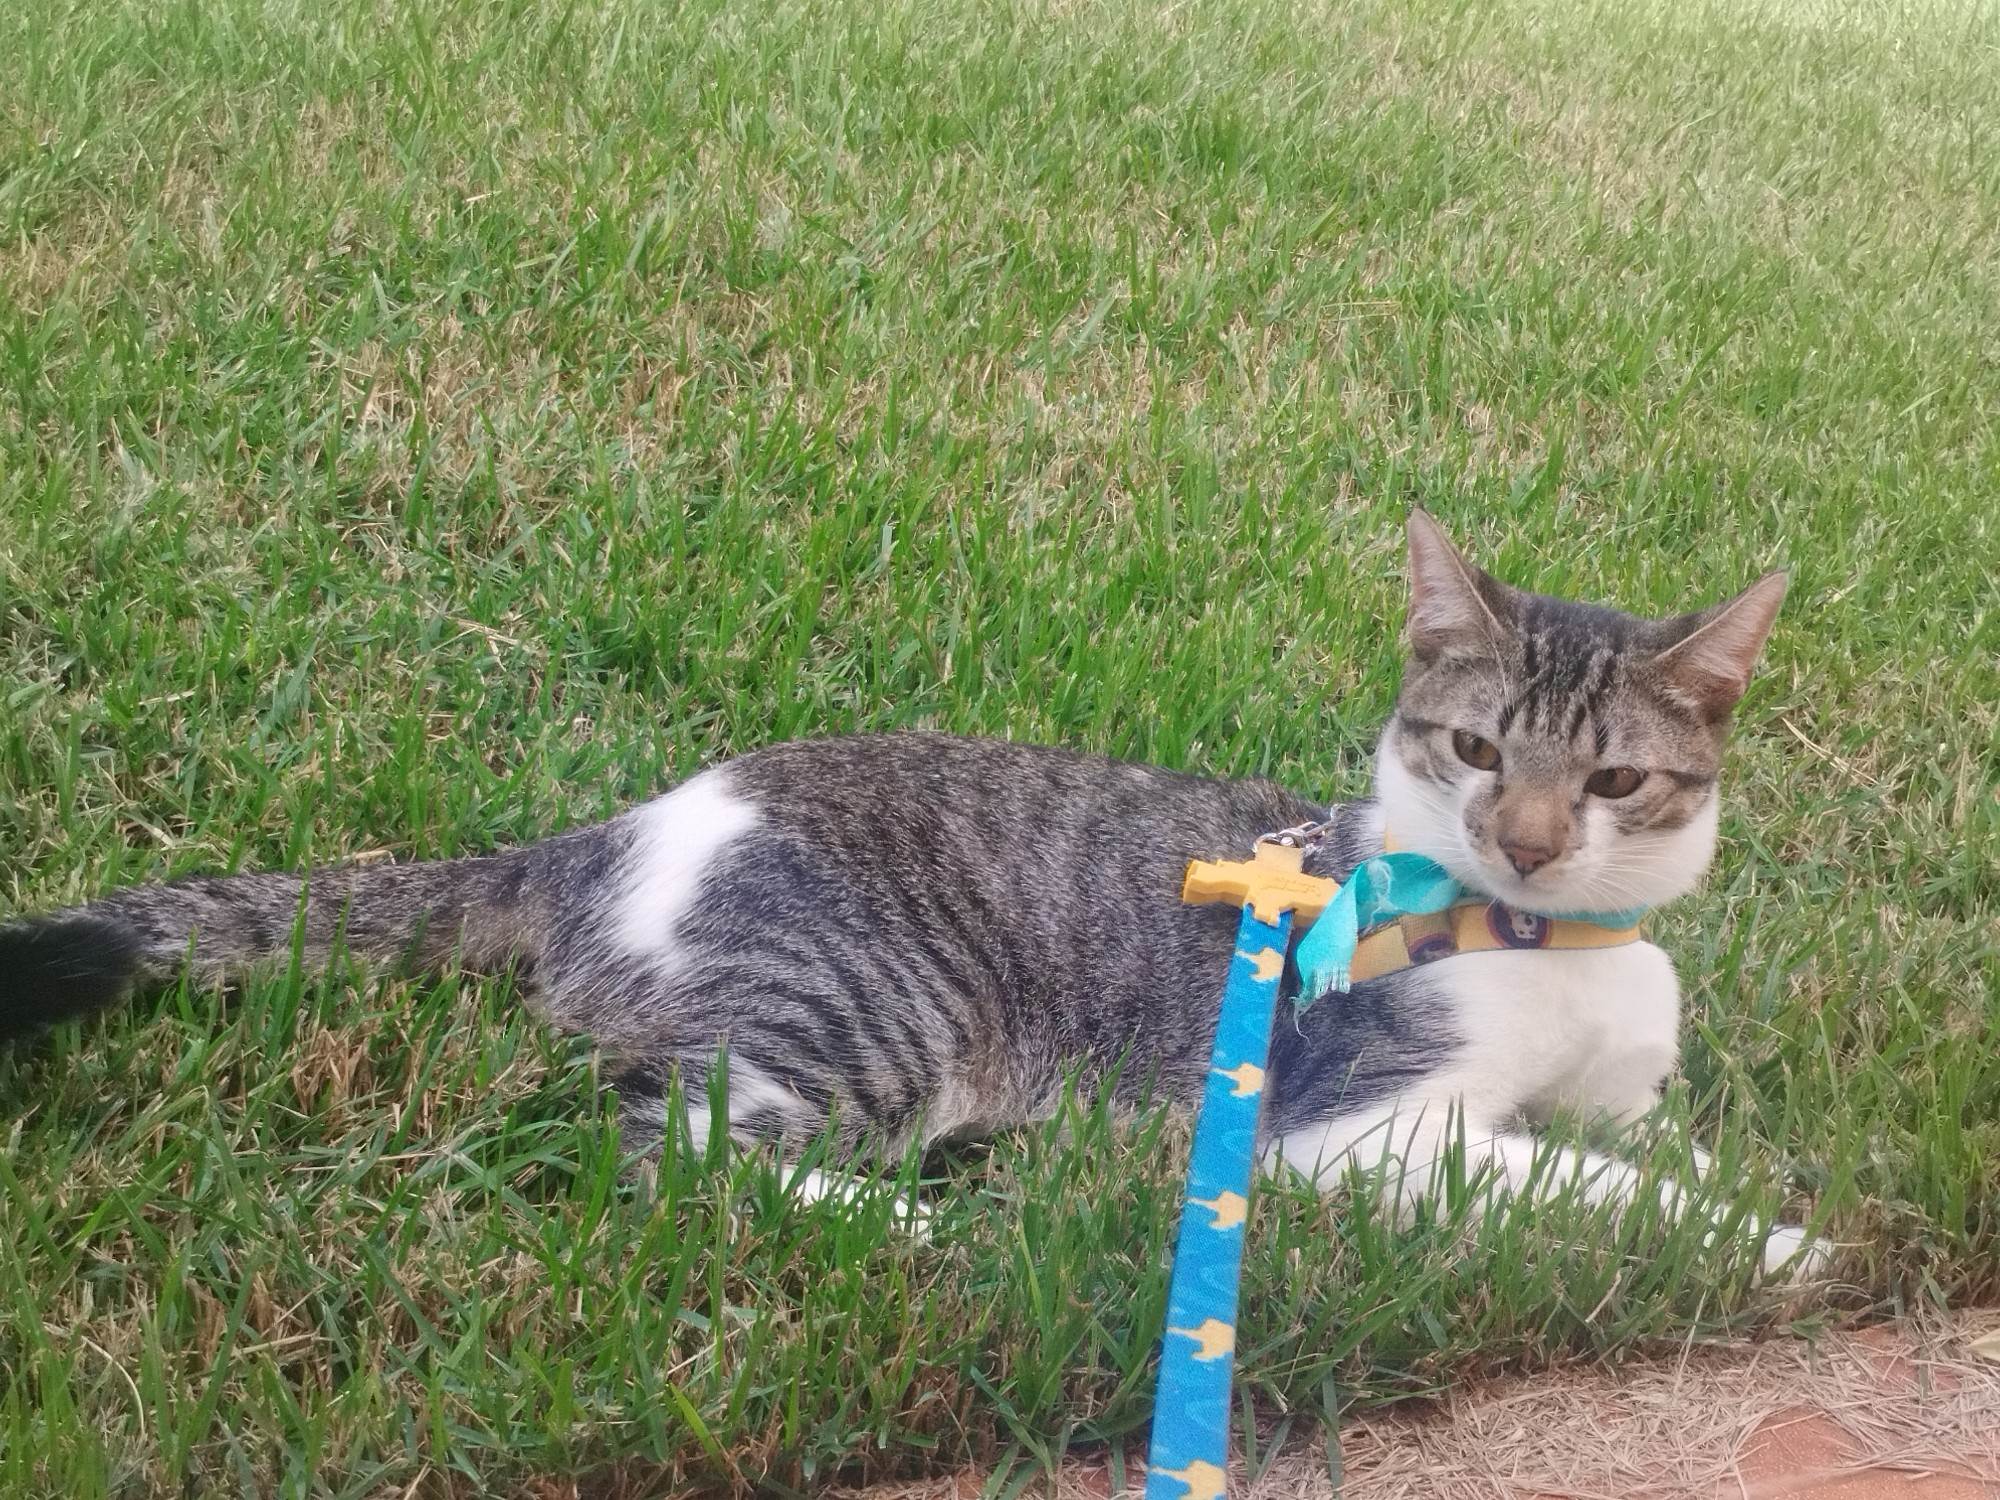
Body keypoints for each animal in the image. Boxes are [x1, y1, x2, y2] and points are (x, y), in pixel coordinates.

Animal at [0, 512, 1816, 1272]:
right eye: (1471, 750)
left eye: (1613, 784)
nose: (1528, 839)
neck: (1551, 942)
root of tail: (607, 833)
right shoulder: (1357, 1128)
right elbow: (1579, 1183)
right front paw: (1775, 1246)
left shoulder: (1617, 1085)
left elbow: (1641, 1144)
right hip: (880, 1011)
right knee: (667, 1154)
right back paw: (951, 1226)